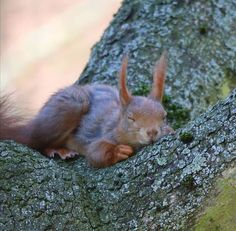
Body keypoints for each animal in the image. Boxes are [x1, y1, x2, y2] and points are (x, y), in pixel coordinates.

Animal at [0, 52, 173, 168]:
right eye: (131, 118)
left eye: (164, 117)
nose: (152, 132)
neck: (117, 121)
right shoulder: (102, 134)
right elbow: (95, 152)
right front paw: (118, 151)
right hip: (70, 107)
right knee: (34, 141)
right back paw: (57, 150)